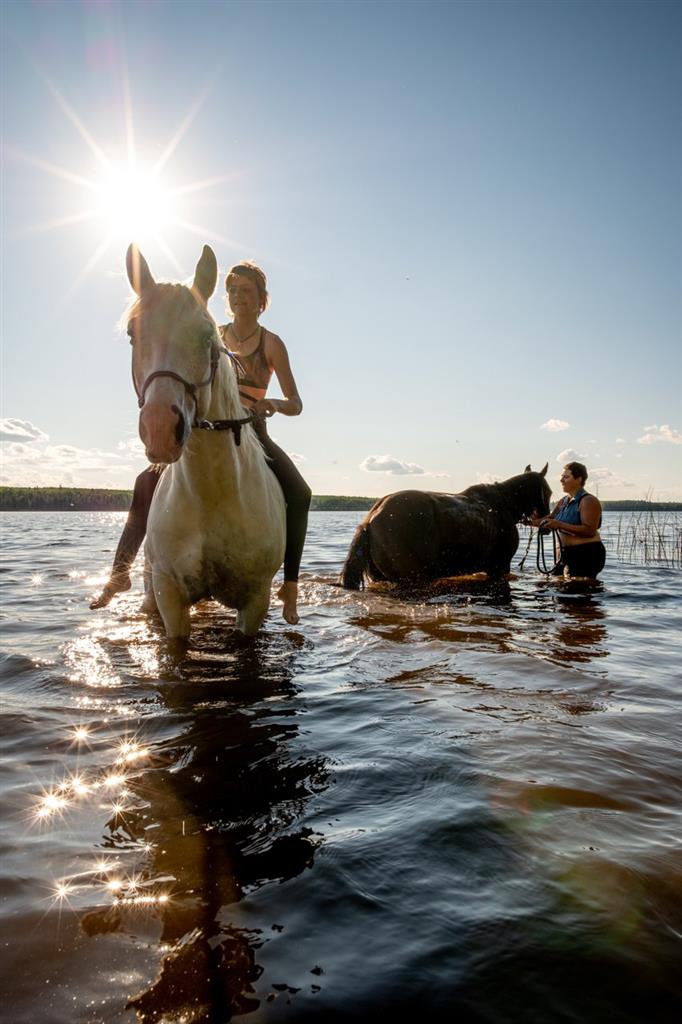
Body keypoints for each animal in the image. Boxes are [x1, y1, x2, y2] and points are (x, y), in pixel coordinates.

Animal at [124, 243, 284, 634]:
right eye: (133, 334)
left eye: (206, 337)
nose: (160, 428)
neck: (211, 494)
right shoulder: (169, 596)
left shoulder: (255, 600)